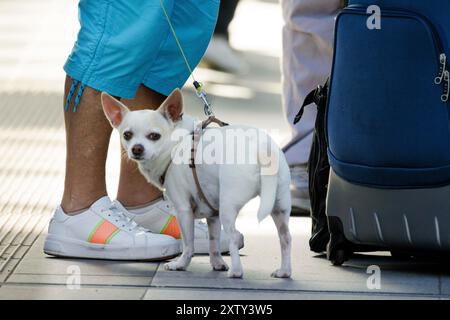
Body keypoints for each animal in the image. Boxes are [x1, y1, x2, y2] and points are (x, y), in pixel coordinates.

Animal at [101, 88, 292, 278]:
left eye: (154, 136)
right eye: (127, 135)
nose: (137, 149)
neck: (178, 143)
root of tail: (263, 148)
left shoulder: (183, 210)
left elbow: (188, 244)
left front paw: (180, 265)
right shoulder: (213, 215)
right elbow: (213, 242)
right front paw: (217, 263)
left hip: (228, 207)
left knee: (233, 236)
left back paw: (236, 272)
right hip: (279, 206)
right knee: (285, 237)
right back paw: (284, 271)